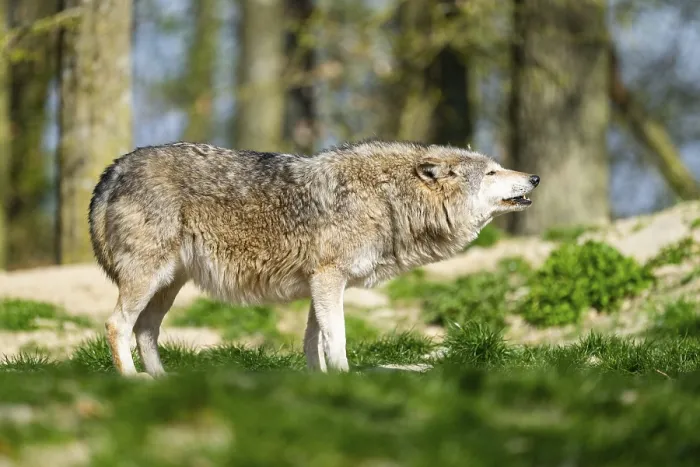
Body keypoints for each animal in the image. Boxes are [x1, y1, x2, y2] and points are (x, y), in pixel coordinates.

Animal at [88, 140, 539, 377]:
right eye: (492, 173)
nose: (534, 177)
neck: (385, 199)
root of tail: (116, 166)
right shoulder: (328, 278)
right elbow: (335, 337)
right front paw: (344, 378)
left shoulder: (318, 284)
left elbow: (312, 341)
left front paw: (318, 382)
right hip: (150, 280)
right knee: (117, 325)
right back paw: (131, 381)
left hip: (168, 286)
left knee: (145, 331)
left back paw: (162, 380)